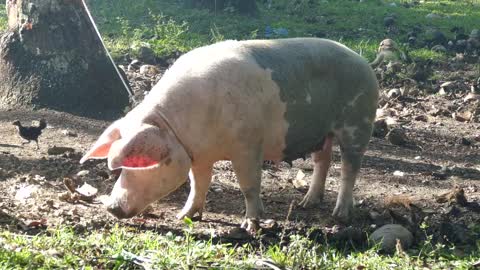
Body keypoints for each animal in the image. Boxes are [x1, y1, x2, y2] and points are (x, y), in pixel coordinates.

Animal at [79, 37, 378, 230]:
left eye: (141, 164)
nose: (111, 207)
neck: (177, 127)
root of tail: (363, 61)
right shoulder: (197, 155)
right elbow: (198, 184)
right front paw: (183, 217)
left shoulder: (248, 145)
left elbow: (249, 185)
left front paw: (250, 225)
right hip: (322, 134)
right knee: (322, 161)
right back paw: (306, 203)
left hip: (358, 123)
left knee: (349, 169)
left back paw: (340, 216)